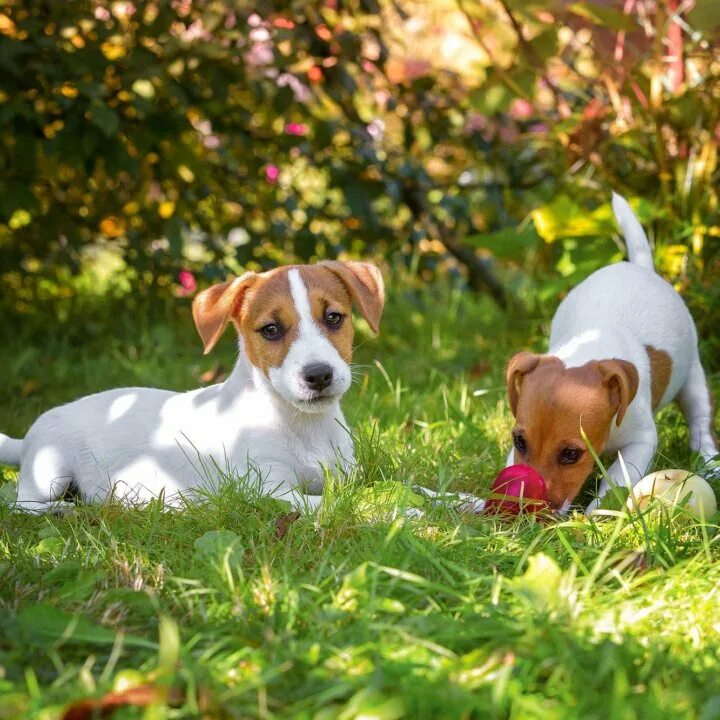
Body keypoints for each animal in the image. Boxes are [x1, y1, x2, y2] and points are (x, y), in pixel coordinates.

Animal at [2, 262, 386, 516]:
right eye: (271, 330)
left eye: (334, 318)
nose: (318, 375)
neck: (304, 425)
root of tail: (29, 438)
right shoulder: (266, 487)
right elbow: (334, 504)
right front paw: (389, 512)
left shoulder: (347, 474)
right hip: (49, 470)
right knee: (19, 503)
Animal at [504, 193, 716, 512]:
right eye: (519, 442)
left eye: (570, 454)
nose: (530, 511)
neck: (588, 350)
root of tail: (638, 266)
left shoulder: (640, 442)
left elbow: (616, 479)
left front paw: (596, 513)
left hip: (692, 378)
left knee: (700, 421)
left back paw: (710, 461)